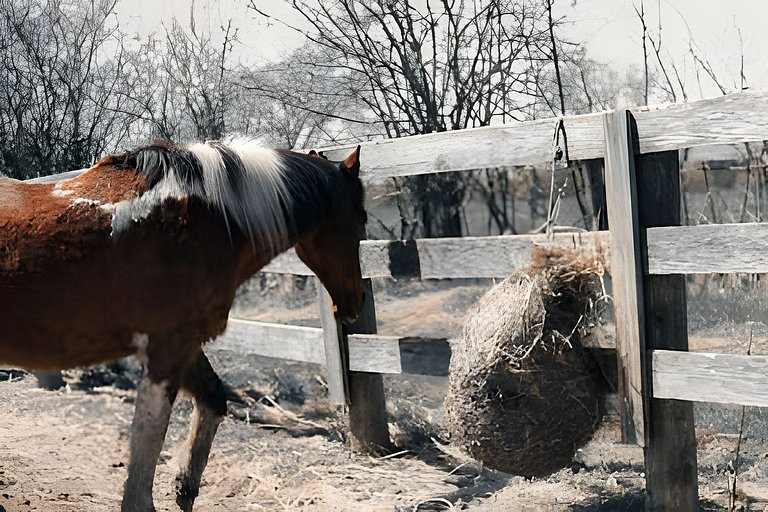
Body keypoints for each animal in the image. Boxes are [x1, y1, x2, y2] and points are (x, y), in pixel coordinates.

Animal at [0, 138, 366, 510]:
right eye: (362, 216)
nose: (356, 301)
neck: (204, 219)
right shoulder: (166, 348)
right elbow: (147, 439)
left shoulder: (185, 342)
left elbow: (213, 400)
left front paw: (184, 487)